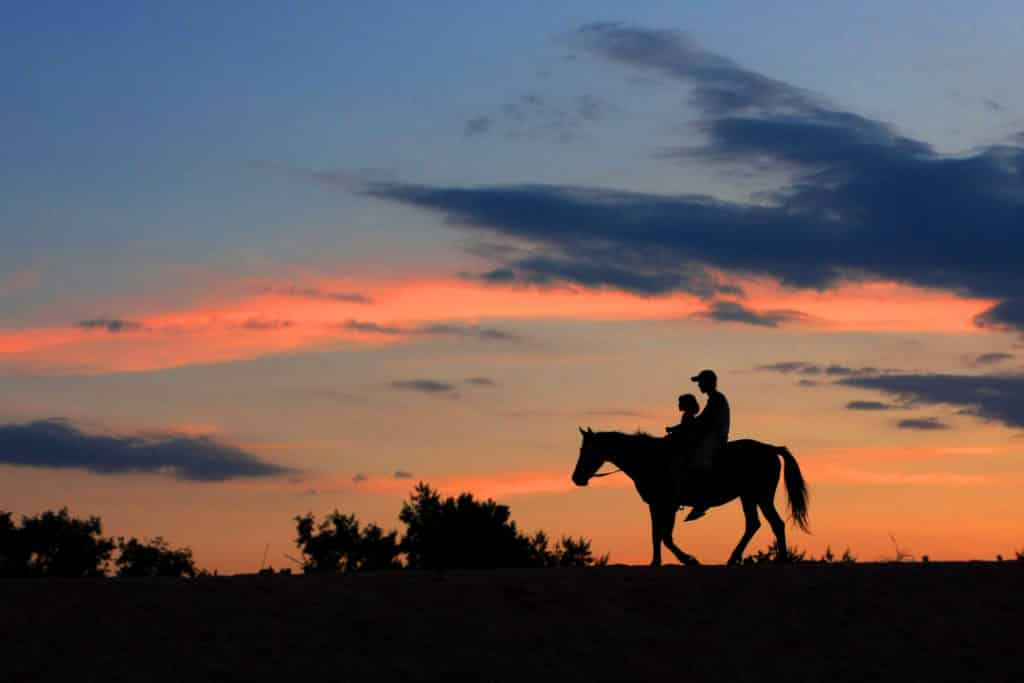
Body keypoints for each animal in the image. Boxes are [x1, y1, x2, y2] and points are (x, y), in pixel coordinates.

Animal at [569, 428, 806, 565]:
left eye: (586, 450)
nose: (576, 478)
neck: (650, 459)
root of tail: (771, 449)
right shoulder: (658, 505)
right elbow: (658, 534)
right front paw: (657, 562)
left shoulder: (665, 504)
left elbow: (664, 535)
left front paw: (687, 559)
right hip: (748, 496)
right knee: (754, 524)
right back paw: (735, 558)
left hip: (761, 495)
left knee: (775, 523)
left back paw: (781, 559)